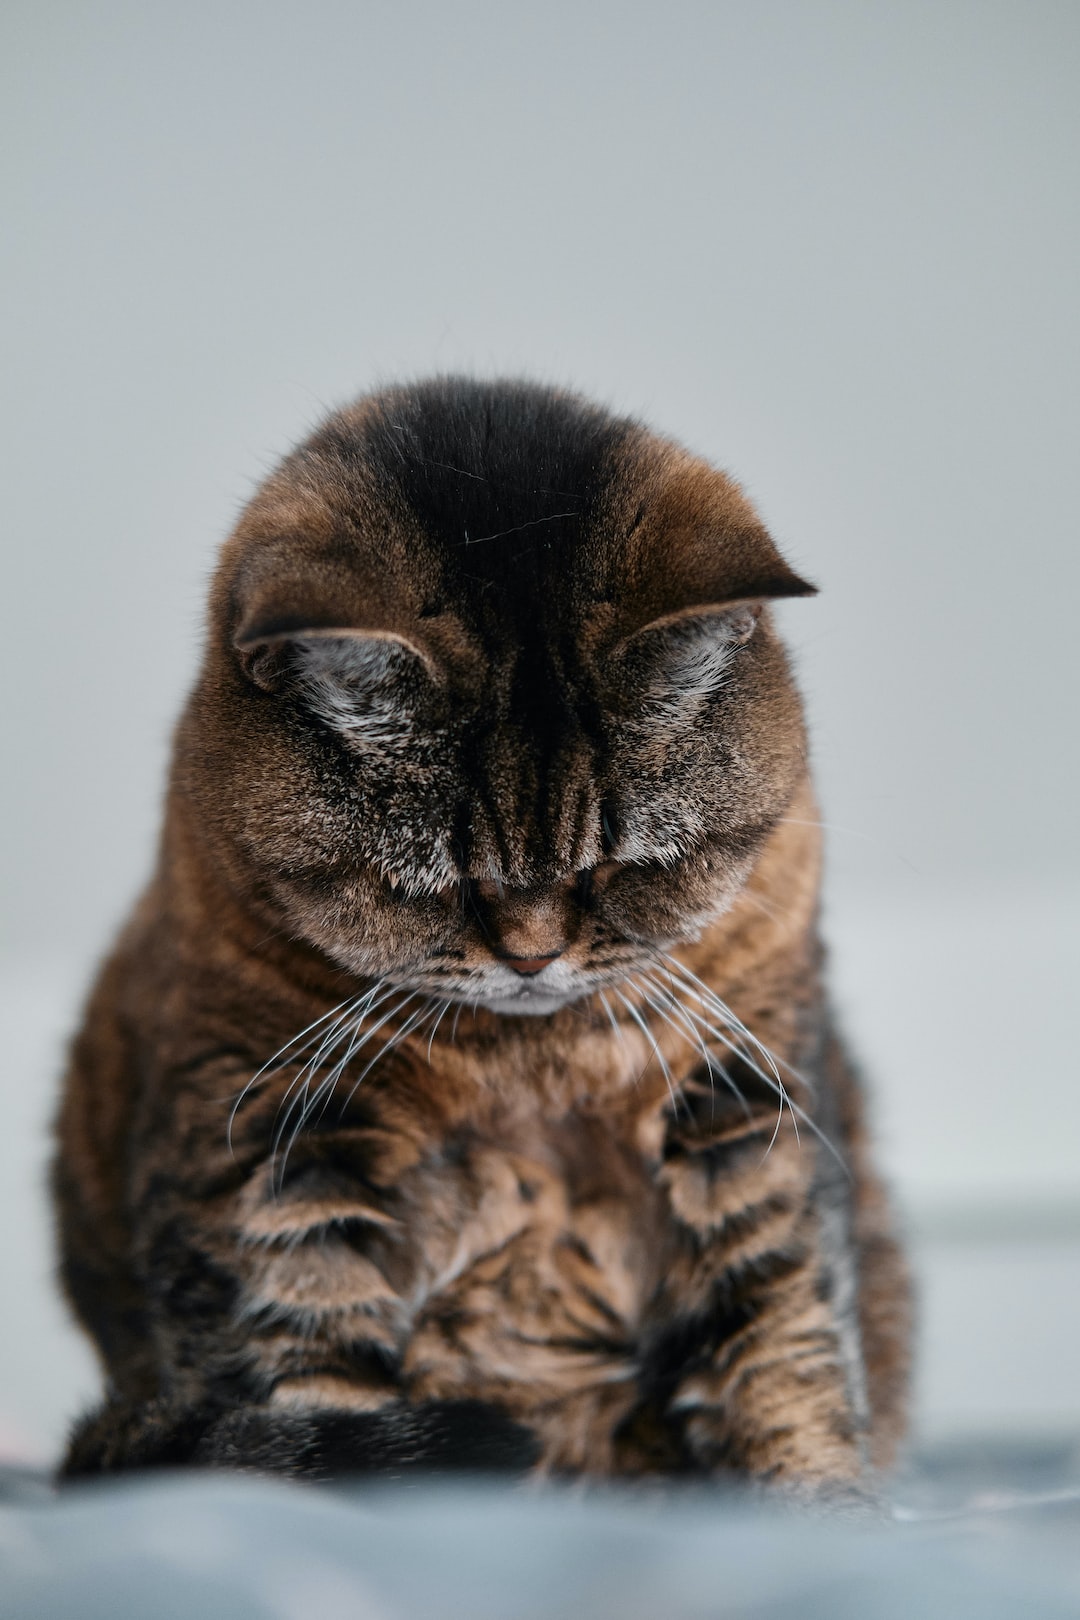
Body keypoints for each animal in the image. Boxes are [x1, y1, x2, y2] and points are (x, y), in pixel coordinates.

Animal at [52, 375, 913, 1490]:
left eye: (622, 866)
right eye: (434, 884)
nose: (533, 953)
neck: (529, 1070)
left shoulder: (750, 1104)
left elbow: (785, 1351)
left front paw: (817, 1504)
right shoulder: (261, 1142)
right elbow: (306, 1382)